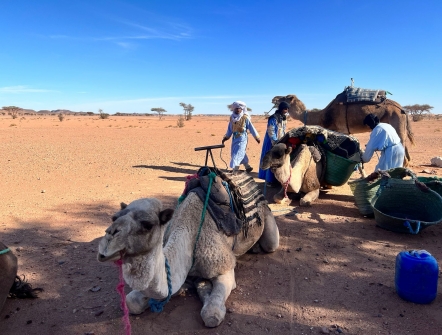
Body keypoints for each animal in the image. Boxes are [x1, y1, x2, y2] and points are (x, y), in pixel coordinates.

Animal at [272, 92, 414, 167]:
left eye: (285, 97)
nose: (274, 98)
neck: (324, 116)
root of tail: (403, 110)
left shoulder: (342, 130)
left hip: (397, 124)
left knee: (404, 158)